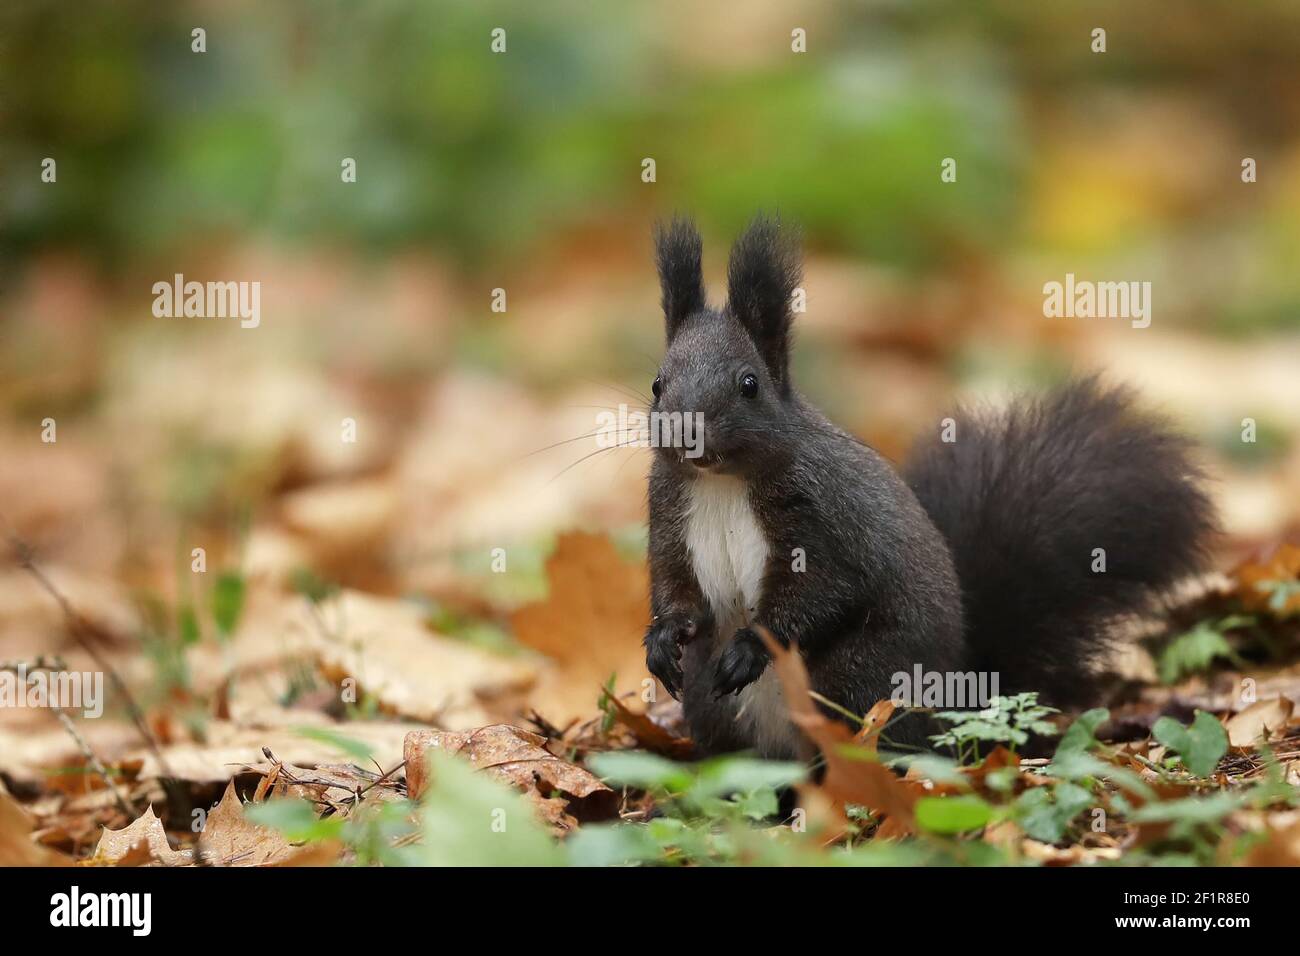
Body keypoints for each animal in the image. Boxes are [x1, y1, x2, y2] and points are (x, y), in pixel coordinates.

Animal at [644, 213, 1211, 759]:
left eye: (749, 384)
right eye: (657, 383)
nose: (686, 431)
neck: (720, 483)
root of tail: (961, 695)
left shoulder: (822, 516)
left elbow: (824, 591)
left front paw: (750, 648)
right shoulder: (670, 513)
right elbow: (676, 586)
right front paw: (662, 640)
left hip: (860, 678)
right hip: (711, 702)